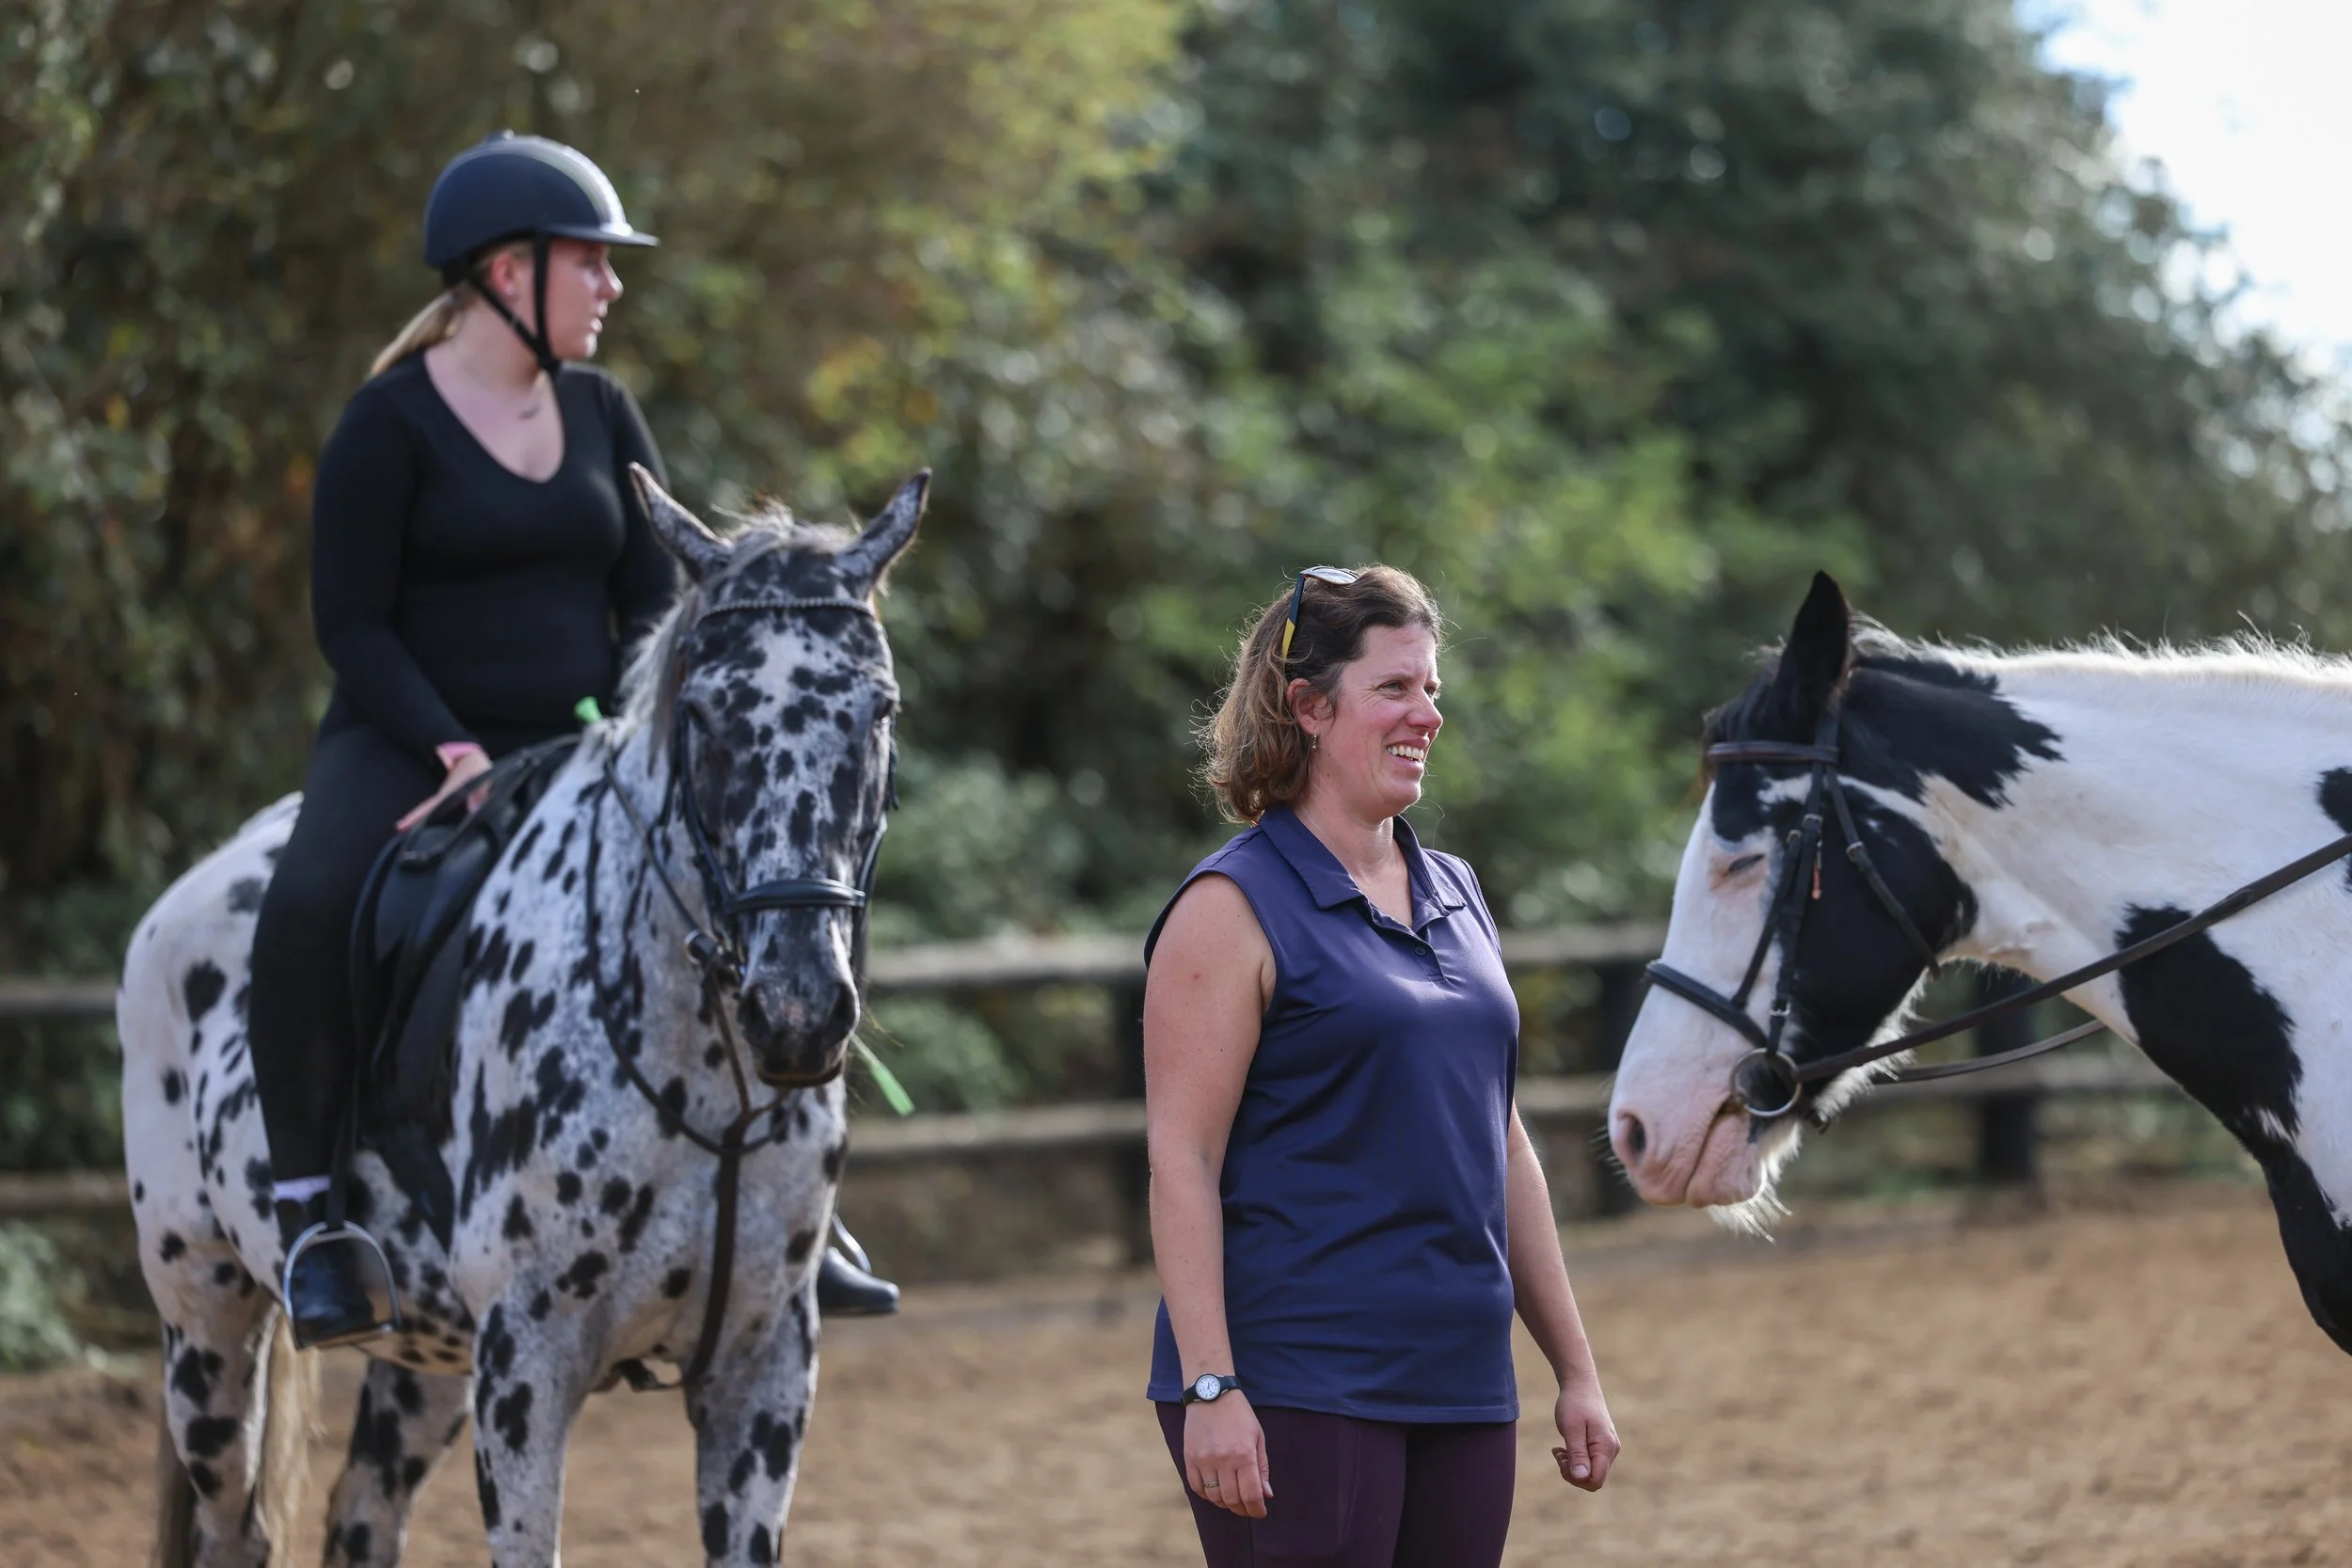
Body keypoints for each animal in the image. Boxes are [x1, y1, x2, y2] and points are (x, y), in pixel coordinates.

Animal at [118, 464, 926, 1567]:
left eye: (876, 709)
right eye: (705, 714)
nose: (797, 1010)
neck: (701, 1083)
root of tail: (180, 897)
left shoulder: (762, 1371)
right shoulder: (527, 1368)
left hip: (423, 1357)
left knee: (360, 1512)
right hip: (206, 1323)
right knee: (235, 1527)